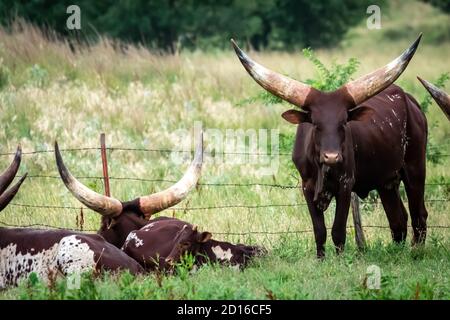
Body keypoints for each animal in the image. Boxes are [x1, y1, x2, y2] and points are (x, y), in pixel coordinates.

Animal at [232, 35, 428, 258]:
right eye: (316, 124)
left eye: (343, 123)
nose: (332, 157)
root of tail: (411, 102)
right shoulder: (306, 187)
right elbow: (319, 230)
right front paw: (320, 259)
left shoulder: (345, 185)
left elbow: (337, 230)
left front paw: (340, 259)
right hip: (386, 180)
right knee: (398, 218)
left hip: (415, 167)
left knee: (419, 213)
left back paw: (417, 252)